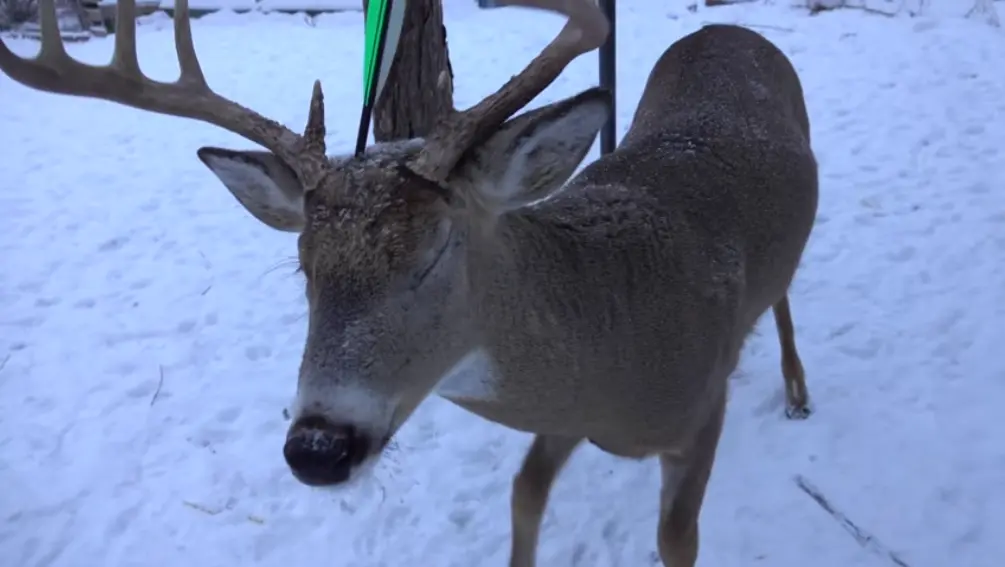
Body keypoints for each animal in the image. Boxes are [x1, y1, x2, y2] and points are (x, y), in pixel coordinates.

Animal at [0, 0, 816, 562]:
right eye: (303, 266)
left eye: (432, 252)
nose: (318, 448)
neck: (616, 335)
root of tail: (730, 27)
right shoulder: (559, 417)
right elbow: (524, 496)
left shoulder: (698, 411)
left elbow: (676, 538)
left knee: (781, 292)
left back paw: (797, 390)